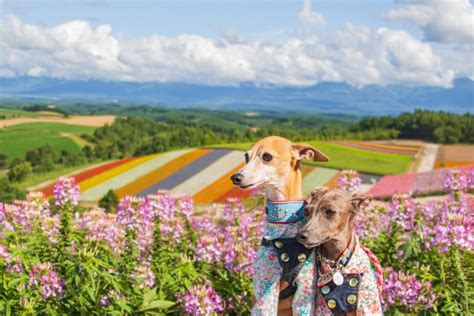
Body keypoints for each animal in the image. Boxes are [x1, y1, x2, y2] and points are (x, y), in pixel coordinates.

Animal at [231, 136, 328, 316]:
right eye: (246, 157)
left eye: (267, 156)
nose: (235, 177)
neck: (283, 219)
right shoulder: (265, 289)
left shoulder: (305, 292)